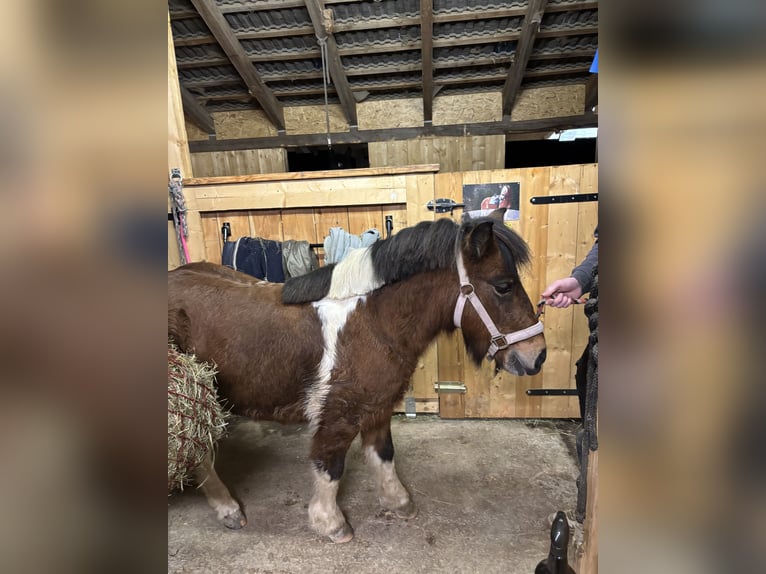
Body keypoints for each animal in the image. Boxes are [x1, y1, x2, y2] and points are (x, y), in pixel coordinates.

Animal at [167, 210, 546, 543]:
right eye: (503, 286)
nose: (538, 355)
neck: (371, 323)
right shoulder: (338, 414)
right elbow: (330, 465)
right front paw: (330, 523)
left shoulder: (378, 406)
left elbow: (384, 454)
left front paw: (398, 502)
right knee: (199, 452)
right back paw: (228, 509)